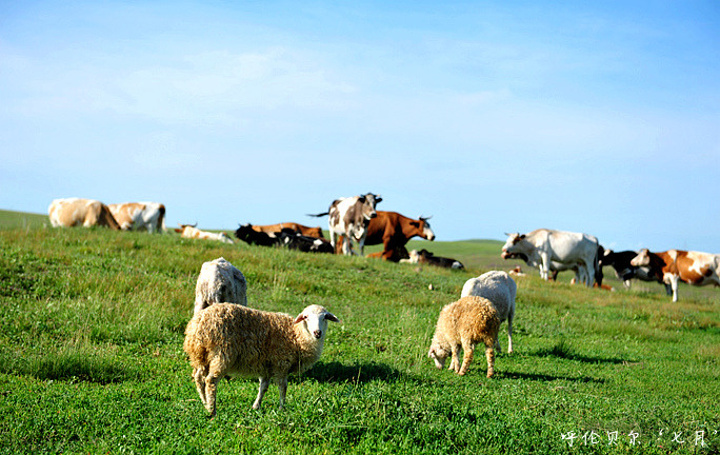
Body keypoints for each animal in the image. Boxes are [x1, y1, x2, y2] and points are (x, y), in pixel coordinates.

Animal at [186, 302, 344, 416]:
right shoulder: (281, 363)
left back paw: (205, 402)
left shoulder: (265, 365)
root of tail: (199, 324)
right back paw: (212, 410)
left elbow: (263, 387)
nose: (318, 332)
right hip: (221, 354)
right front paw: (282, 408)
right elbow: (283, 387)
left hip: (200, 355)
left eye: (324, 317)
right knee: (211, 380)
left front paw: (256, 406)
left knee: (198, 377)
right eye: (306, 317)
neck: (297, 335)